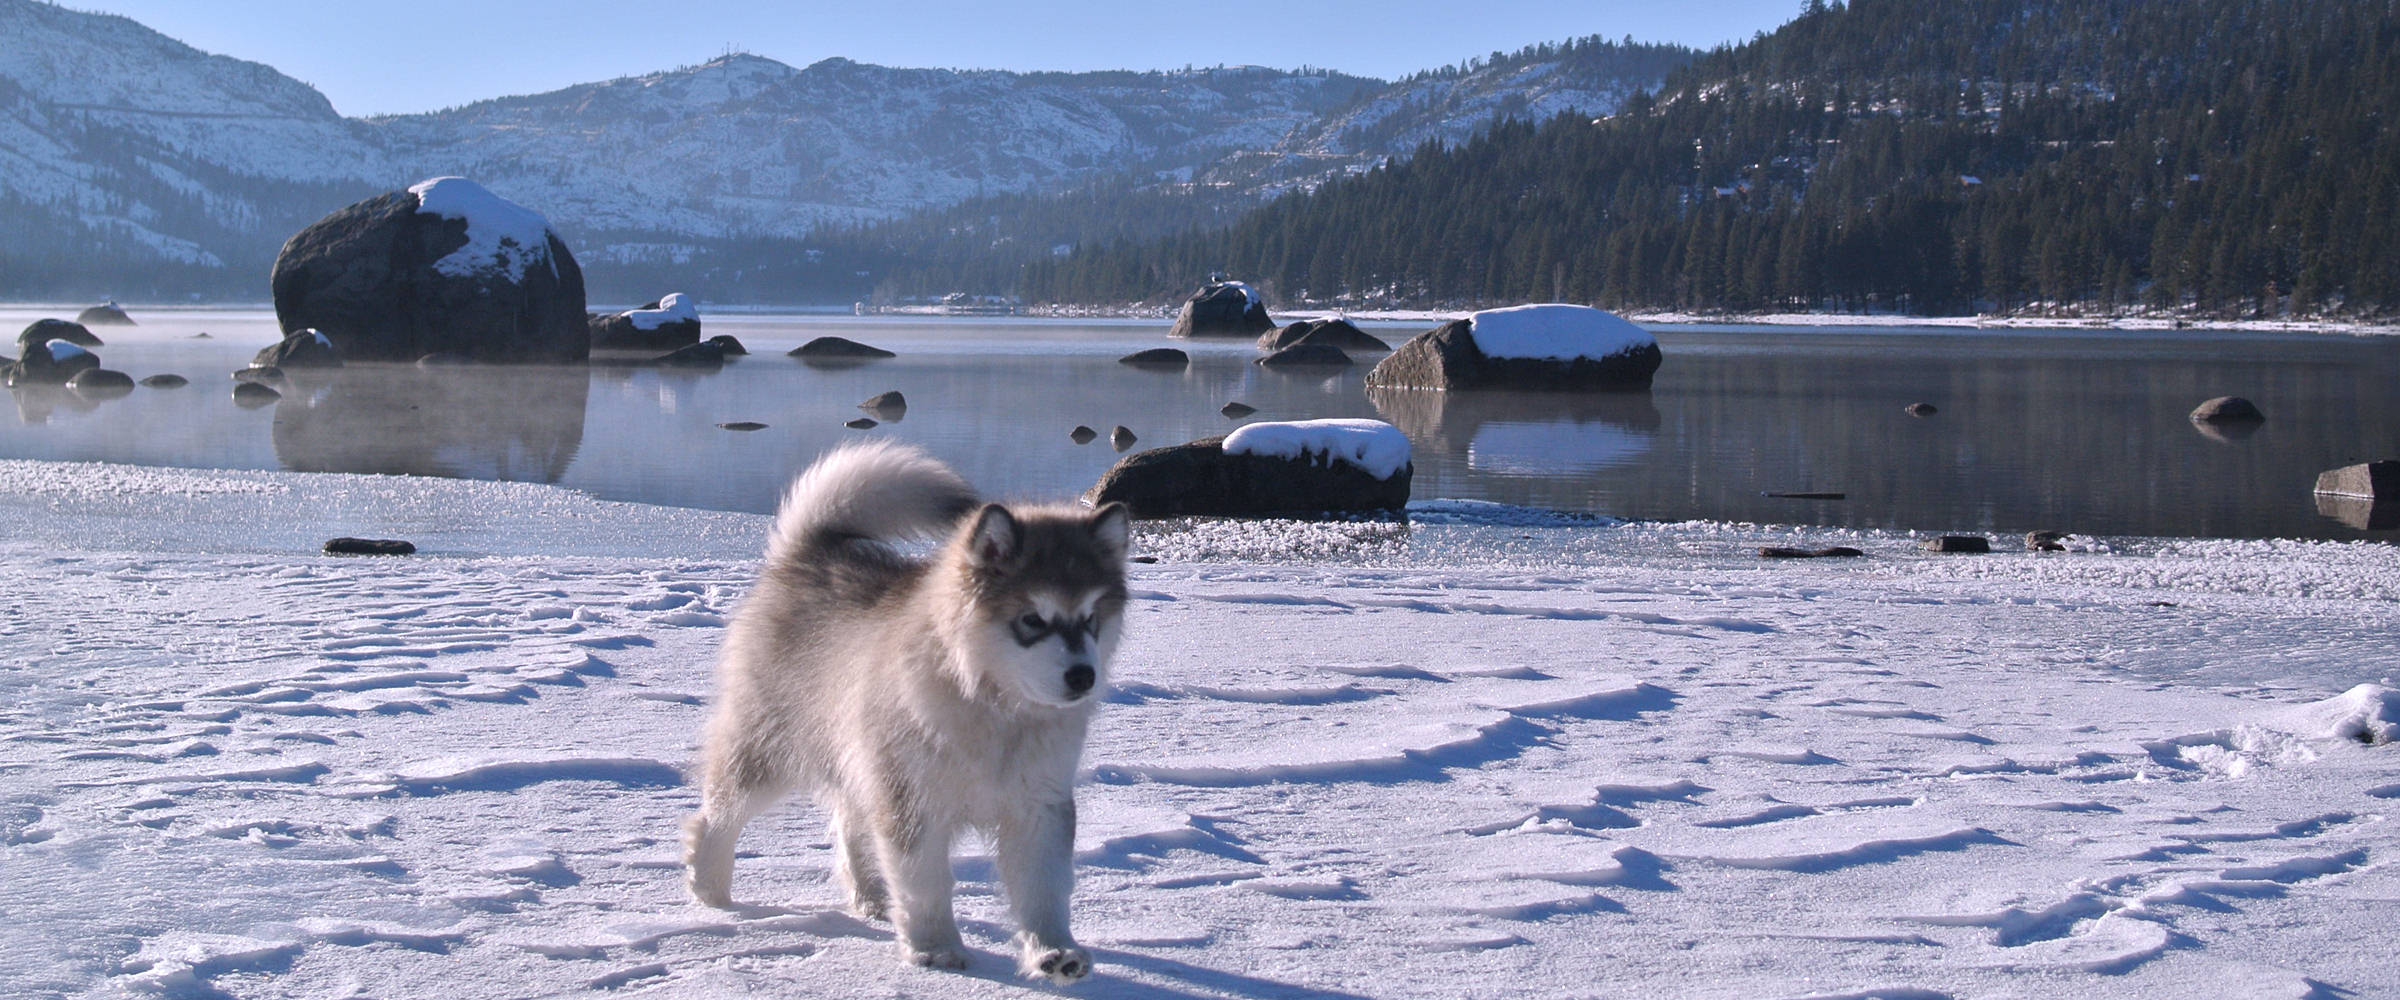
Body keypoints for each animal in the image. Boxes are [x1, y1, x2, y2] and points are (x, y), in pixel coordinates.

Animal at [676, 438, 1123, 983]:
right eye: (1033, 620)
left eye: (1092, 618)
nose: (1083, 676)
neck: (993, 707)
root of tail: (812, 552)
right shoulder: (912, 801)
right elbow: (926, 884)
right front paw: (935, 947)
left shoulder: (1039, 803)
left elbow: (1044, 888)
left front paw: (1052, 950)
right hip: (770, 749)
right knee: (719, 812)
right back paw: (710, 887)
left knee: (850, 821)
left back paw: (870, 895)